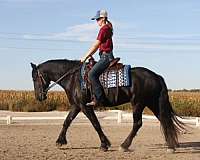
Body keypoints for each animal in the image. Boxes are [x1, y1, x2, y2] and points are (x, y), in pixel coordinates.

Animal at [30, 59, 184, 152]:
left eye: (34, 77)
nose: (39, 97)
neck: (73, 78)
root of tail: (156, 75)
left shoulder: (85, 106)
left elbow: (95, 123)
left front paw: (104, 144)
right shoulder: (76, 105)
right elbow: (67, 121)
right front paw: (60, 141)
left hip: (138, 103)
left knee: (138, 123)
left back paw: (124, 145)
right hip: (152, 103)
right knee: (164, 120)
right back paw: (171, 145)